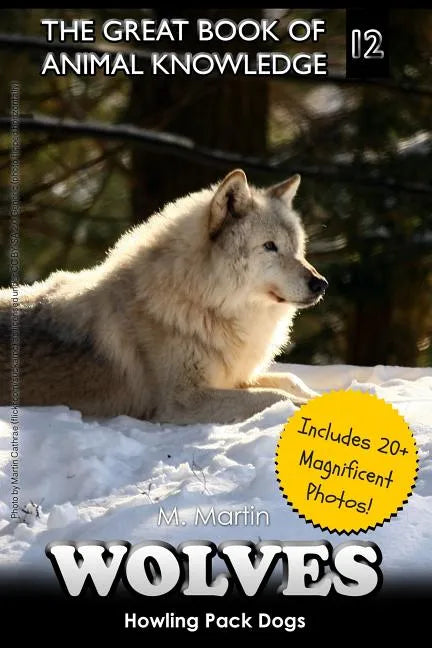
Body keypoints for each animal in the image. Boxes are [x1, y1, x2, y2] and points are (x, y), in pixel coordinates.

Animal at [0, 169, 327, 424]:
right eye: (270, 246)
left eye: (298, 249)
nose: (320, 284)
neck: (198, 301)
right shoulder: (182, 401)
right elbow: (274, 396)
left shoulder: (232, 376)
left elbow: (291, 380)